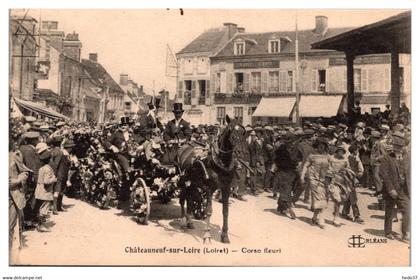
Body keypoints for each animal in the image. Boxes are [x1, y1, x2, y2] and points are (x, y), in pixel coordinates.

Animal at [175, 115, 246, 244]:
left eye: (244, 132)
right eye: (230, 131)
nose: (241, 152)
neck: (220, 162)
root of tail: (184, 146)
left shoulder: (226, 187)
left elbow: (226, 211)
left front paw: (224, 236)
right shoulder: (209, 188)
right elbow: (208, 211)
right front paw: (207, 235)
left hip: (192, 182)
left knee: (190, 199)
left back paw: (189, 221)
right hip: (184, 180)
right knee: (182, 198)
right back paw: (183, 221)